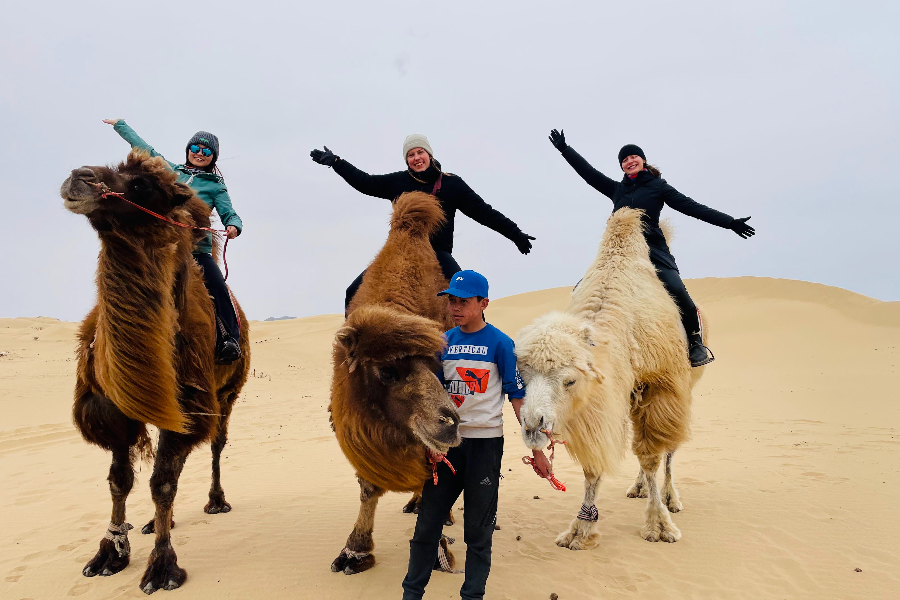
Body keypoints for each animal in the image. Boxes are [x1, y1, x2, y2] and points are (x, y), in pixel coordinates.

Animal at [59, 151, 250, 596]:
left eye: (142, 185)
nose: (79, 176)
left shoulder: (188, 403)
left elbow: (162, 482)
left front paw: (162, 567)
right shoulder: (113, 408)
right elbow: (119, 479)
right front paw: (109, 553)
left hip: (228, 393)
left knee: (216, 444)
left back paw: (216, 501)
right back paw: (155, 522)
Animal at [326, 193, 460, 576]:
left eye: (439, 366)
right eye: (387, 371)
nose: (449, 423)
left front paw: (437, 547)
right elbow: (368, 486)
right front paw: (354, 553)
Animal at [516, 209, 708, 552]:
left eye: (570, 381)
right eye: (522, 376)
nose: (533, 426)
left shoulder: (661, 388)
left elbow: (651, 455)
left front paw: (660, 526)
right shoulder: (599, 405)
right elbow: (593, 468)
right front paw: (580, 530)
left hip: (681, 390)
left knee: (668, 450)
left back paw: (670, 498)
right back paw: (638, 487)